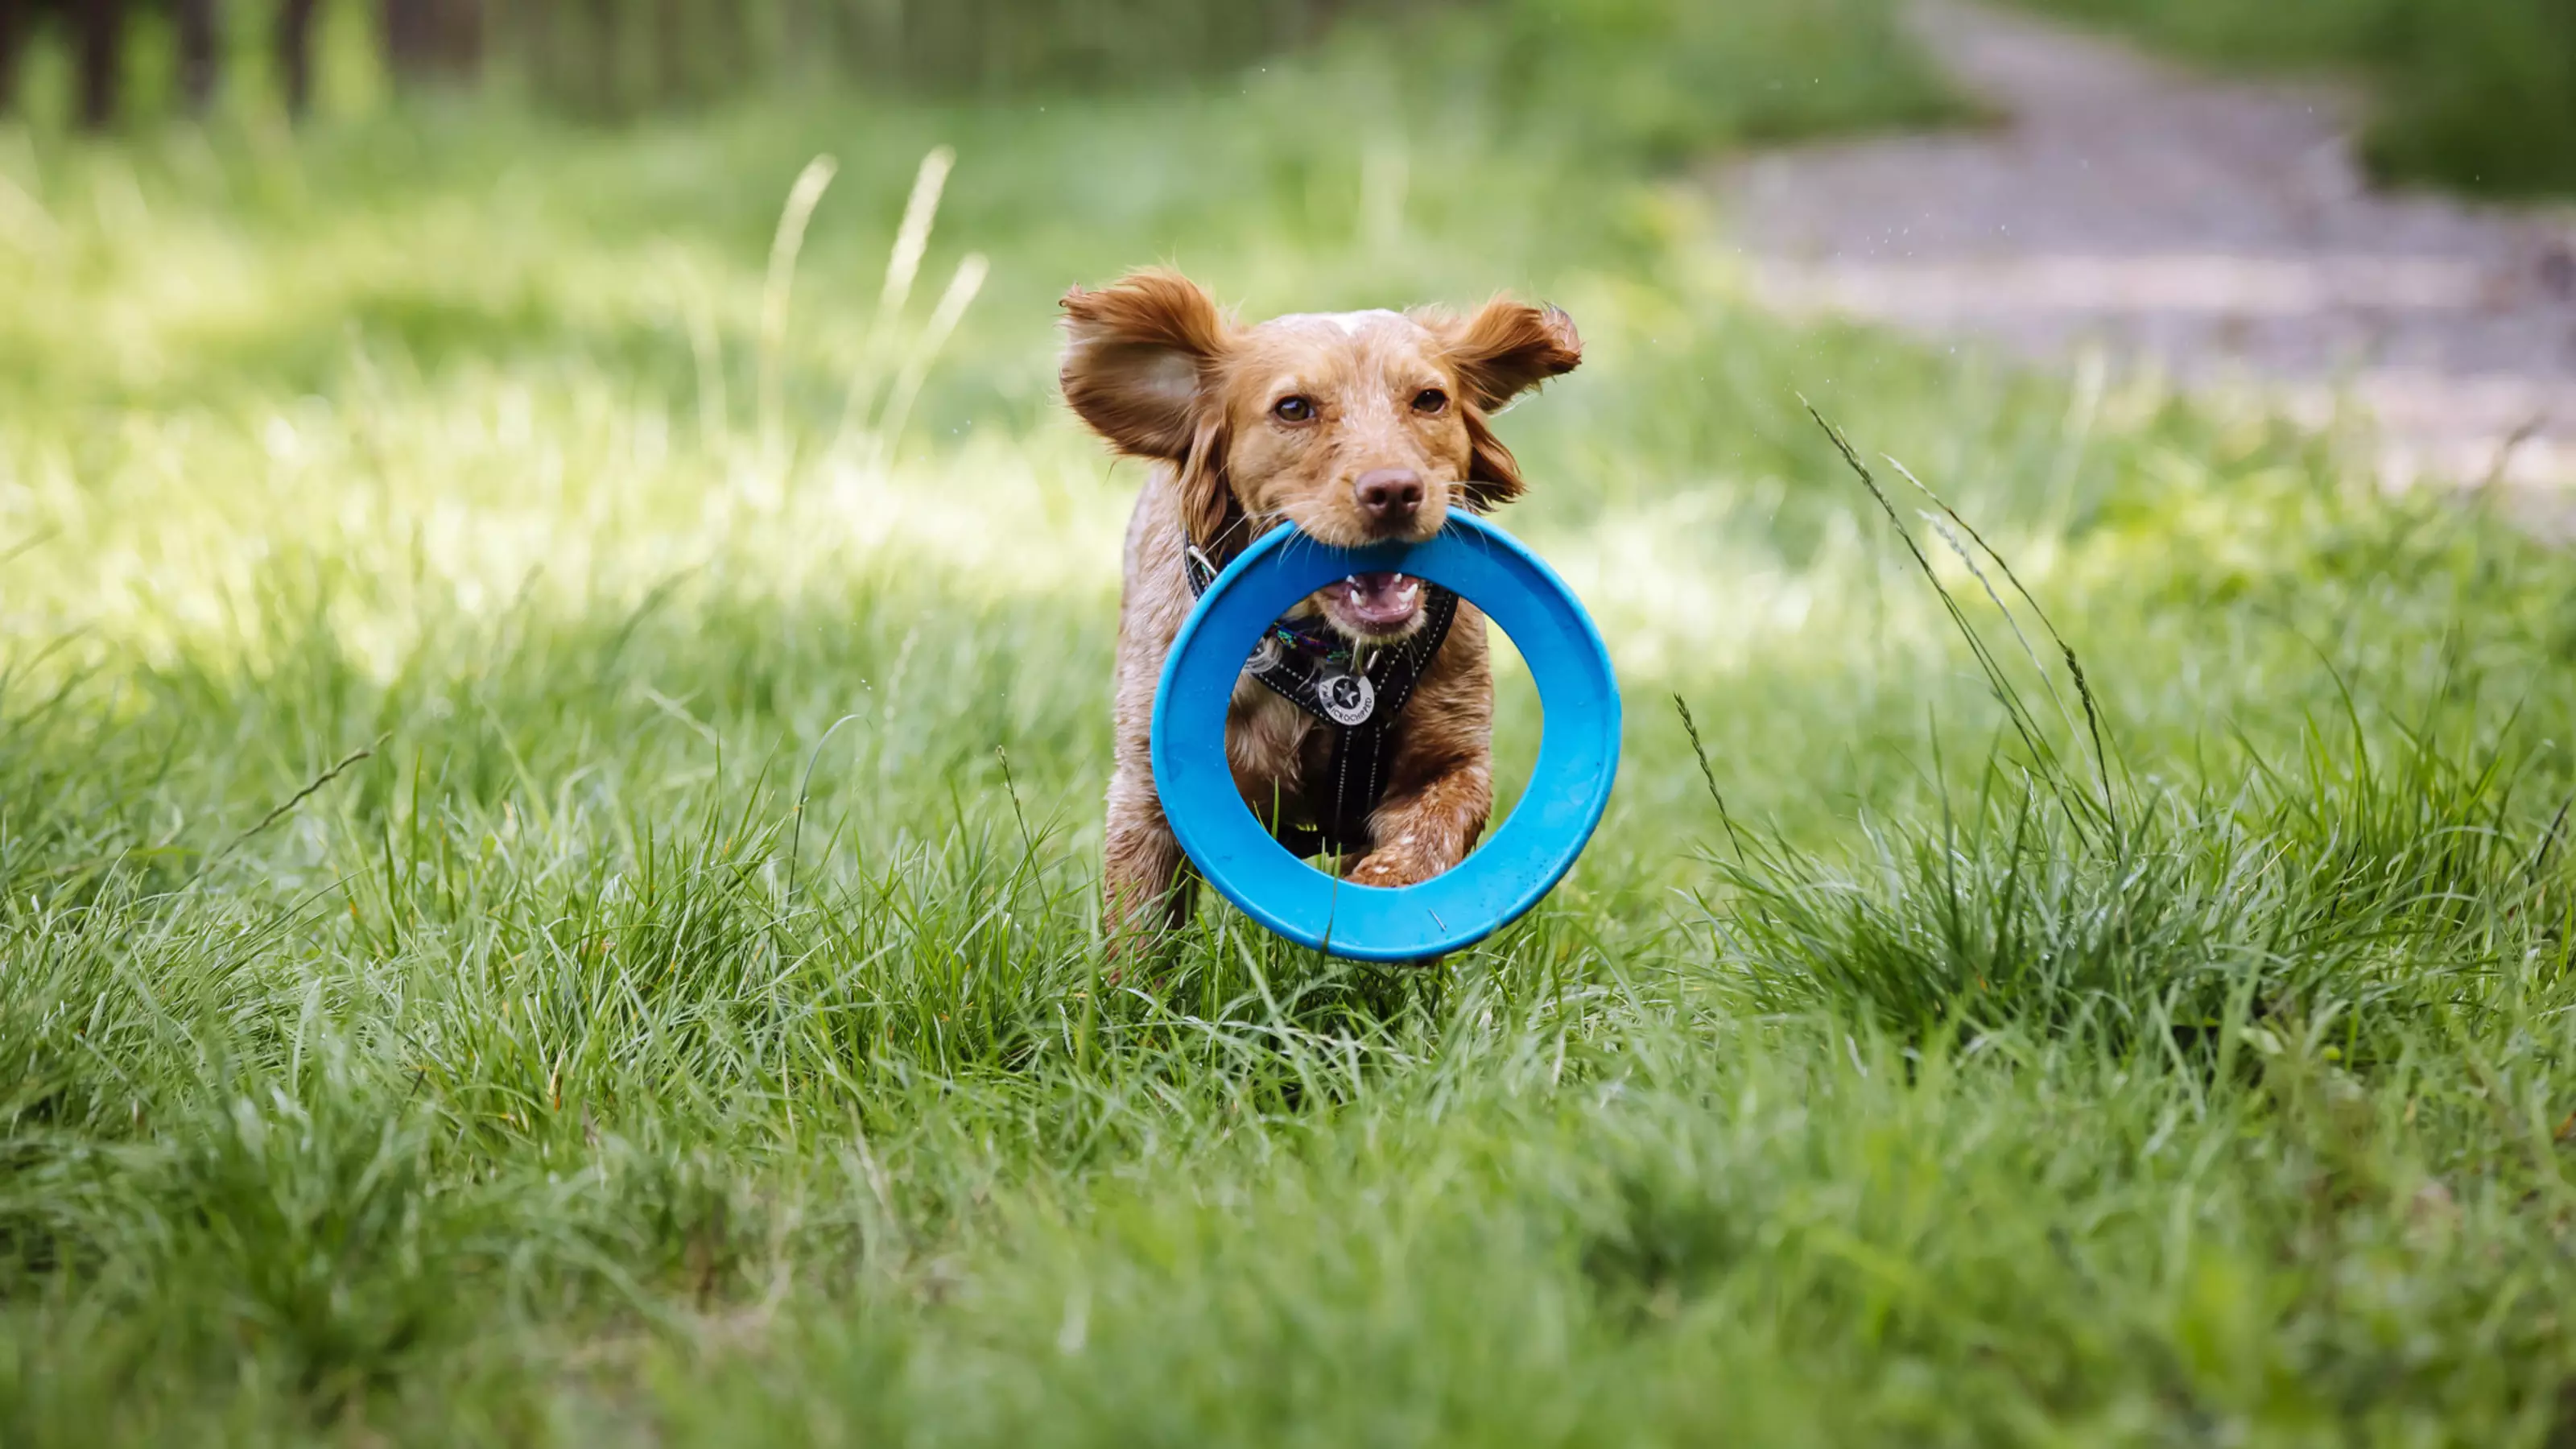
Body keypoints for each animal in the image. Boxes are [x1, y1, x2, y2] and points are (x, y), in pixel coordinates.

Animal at [1056, 269, 1576, 948]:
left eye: (1429, 399)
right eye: (1294, 408)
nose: (1394, 491)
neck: (1331, 660)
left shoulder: (1456, 757)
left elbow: (1433, 825)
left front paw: (1391, 885)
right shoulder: (1148, 792)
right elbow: (1141, 933)